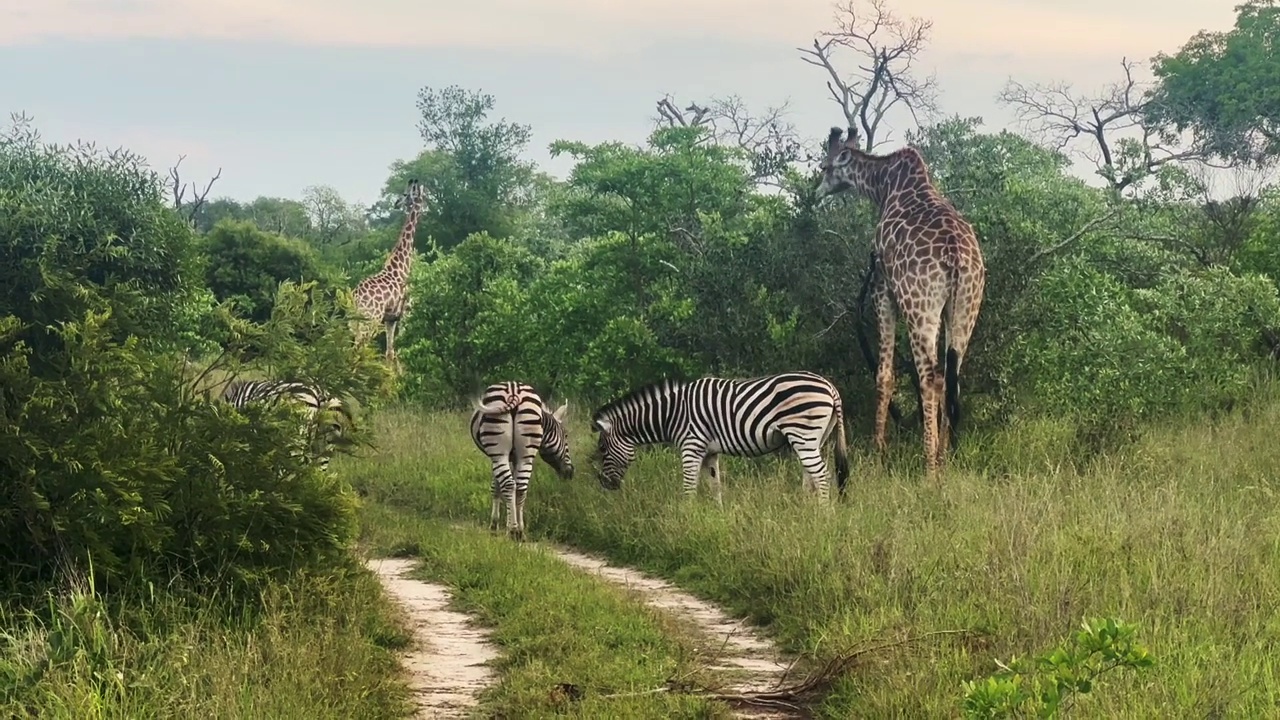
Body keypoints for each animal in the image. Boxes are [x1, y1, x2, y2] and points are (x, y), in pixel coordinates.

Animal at [350, 176, 424, 366]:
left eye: (405, 194)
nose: (396, 203)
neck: (401, 266)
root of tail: (356, 298)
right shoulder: (403, 314)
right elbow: (398, 352)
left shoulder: (390, 319)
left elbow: (389, 353)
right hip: (370, 320)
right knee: (359, 350)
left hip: (354, 323)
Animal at [468, 381, 573, 538]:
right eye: (565, 436)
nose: (570, 472)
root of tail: (513, 392)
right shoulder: (515, 458)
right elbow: (507, 487)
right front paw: (504, 523)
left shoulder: (502, 458)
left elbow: (497, 487)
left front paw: (496, 524)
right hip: (524, 455)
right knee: (520, 487)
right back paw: (519, 530)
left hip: (500, 453)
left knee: (510, 484)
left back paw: (513, 529)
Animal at [588, 368, 849, 499]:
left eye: (602, 448)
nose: (604, 484)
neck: (672, 413)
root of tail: (830, 387)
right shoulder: (710, 452)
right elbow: (715, 486)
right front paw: (716, 519)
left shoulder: (691, 447)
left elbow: (689, 486)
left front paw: (687, 519)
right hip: (816, 438)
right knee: (811, 477)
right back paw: (806, 512)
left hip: (803, 435)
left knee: (822, 476)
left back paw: (824, 516)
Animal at [814, 126, 983, 474]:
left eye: (825, 167)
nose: (816, 193)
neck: (884, 186)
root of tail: (956, 256)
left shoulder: (883, 287)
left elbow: (884, 373)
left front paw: (878, 450)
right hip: (966, 307)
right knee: (952, 375)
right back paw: (944, 458)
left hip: (919, 306)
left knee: (930, 376)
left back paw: (930, 467)